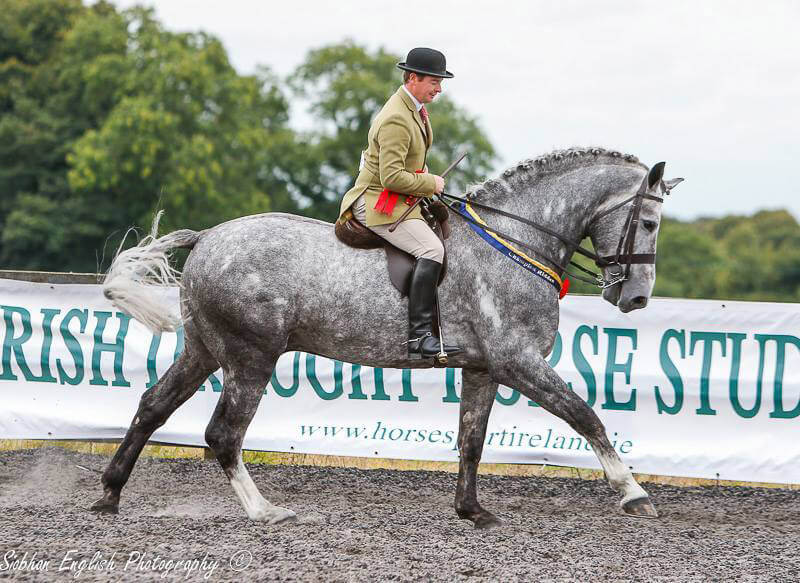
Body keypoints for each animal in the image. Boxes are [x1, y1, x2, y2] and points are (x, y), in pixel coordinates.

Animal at [92, 147, 680, 528]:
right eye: (650, 223)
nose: (635, 300)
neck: (514, 238)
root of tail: (209, 237)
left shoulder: (484, 368)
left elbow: (471, 439)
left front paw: (473, 511)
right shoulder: (519, 362)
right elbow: (586, 415)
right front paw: (634, 495)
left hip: (204, 350)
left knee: (153, 406)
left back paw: (109, 495)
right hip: (249, 359)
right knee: (222, 434)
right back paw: (265, 511)